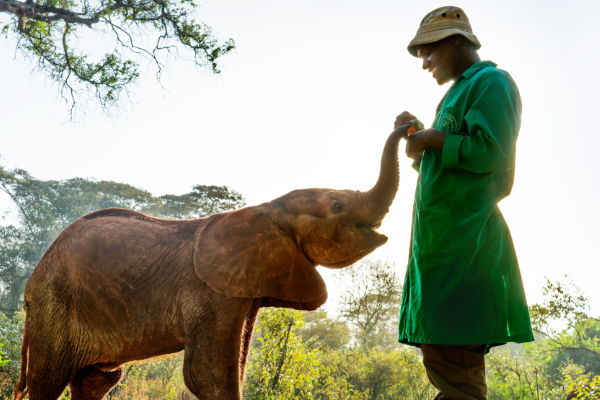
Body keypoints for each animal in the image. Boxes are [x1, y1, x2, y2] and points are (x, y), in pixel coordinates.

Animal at [12, 123, 412, 398]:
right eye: (338, 206)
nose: (407, 124)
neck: (269, 208)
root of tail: (32, 281)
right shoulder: (209, 292)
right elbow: (207, 375)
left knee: (97, 379)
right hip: (55, 308)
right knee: (49, 380)